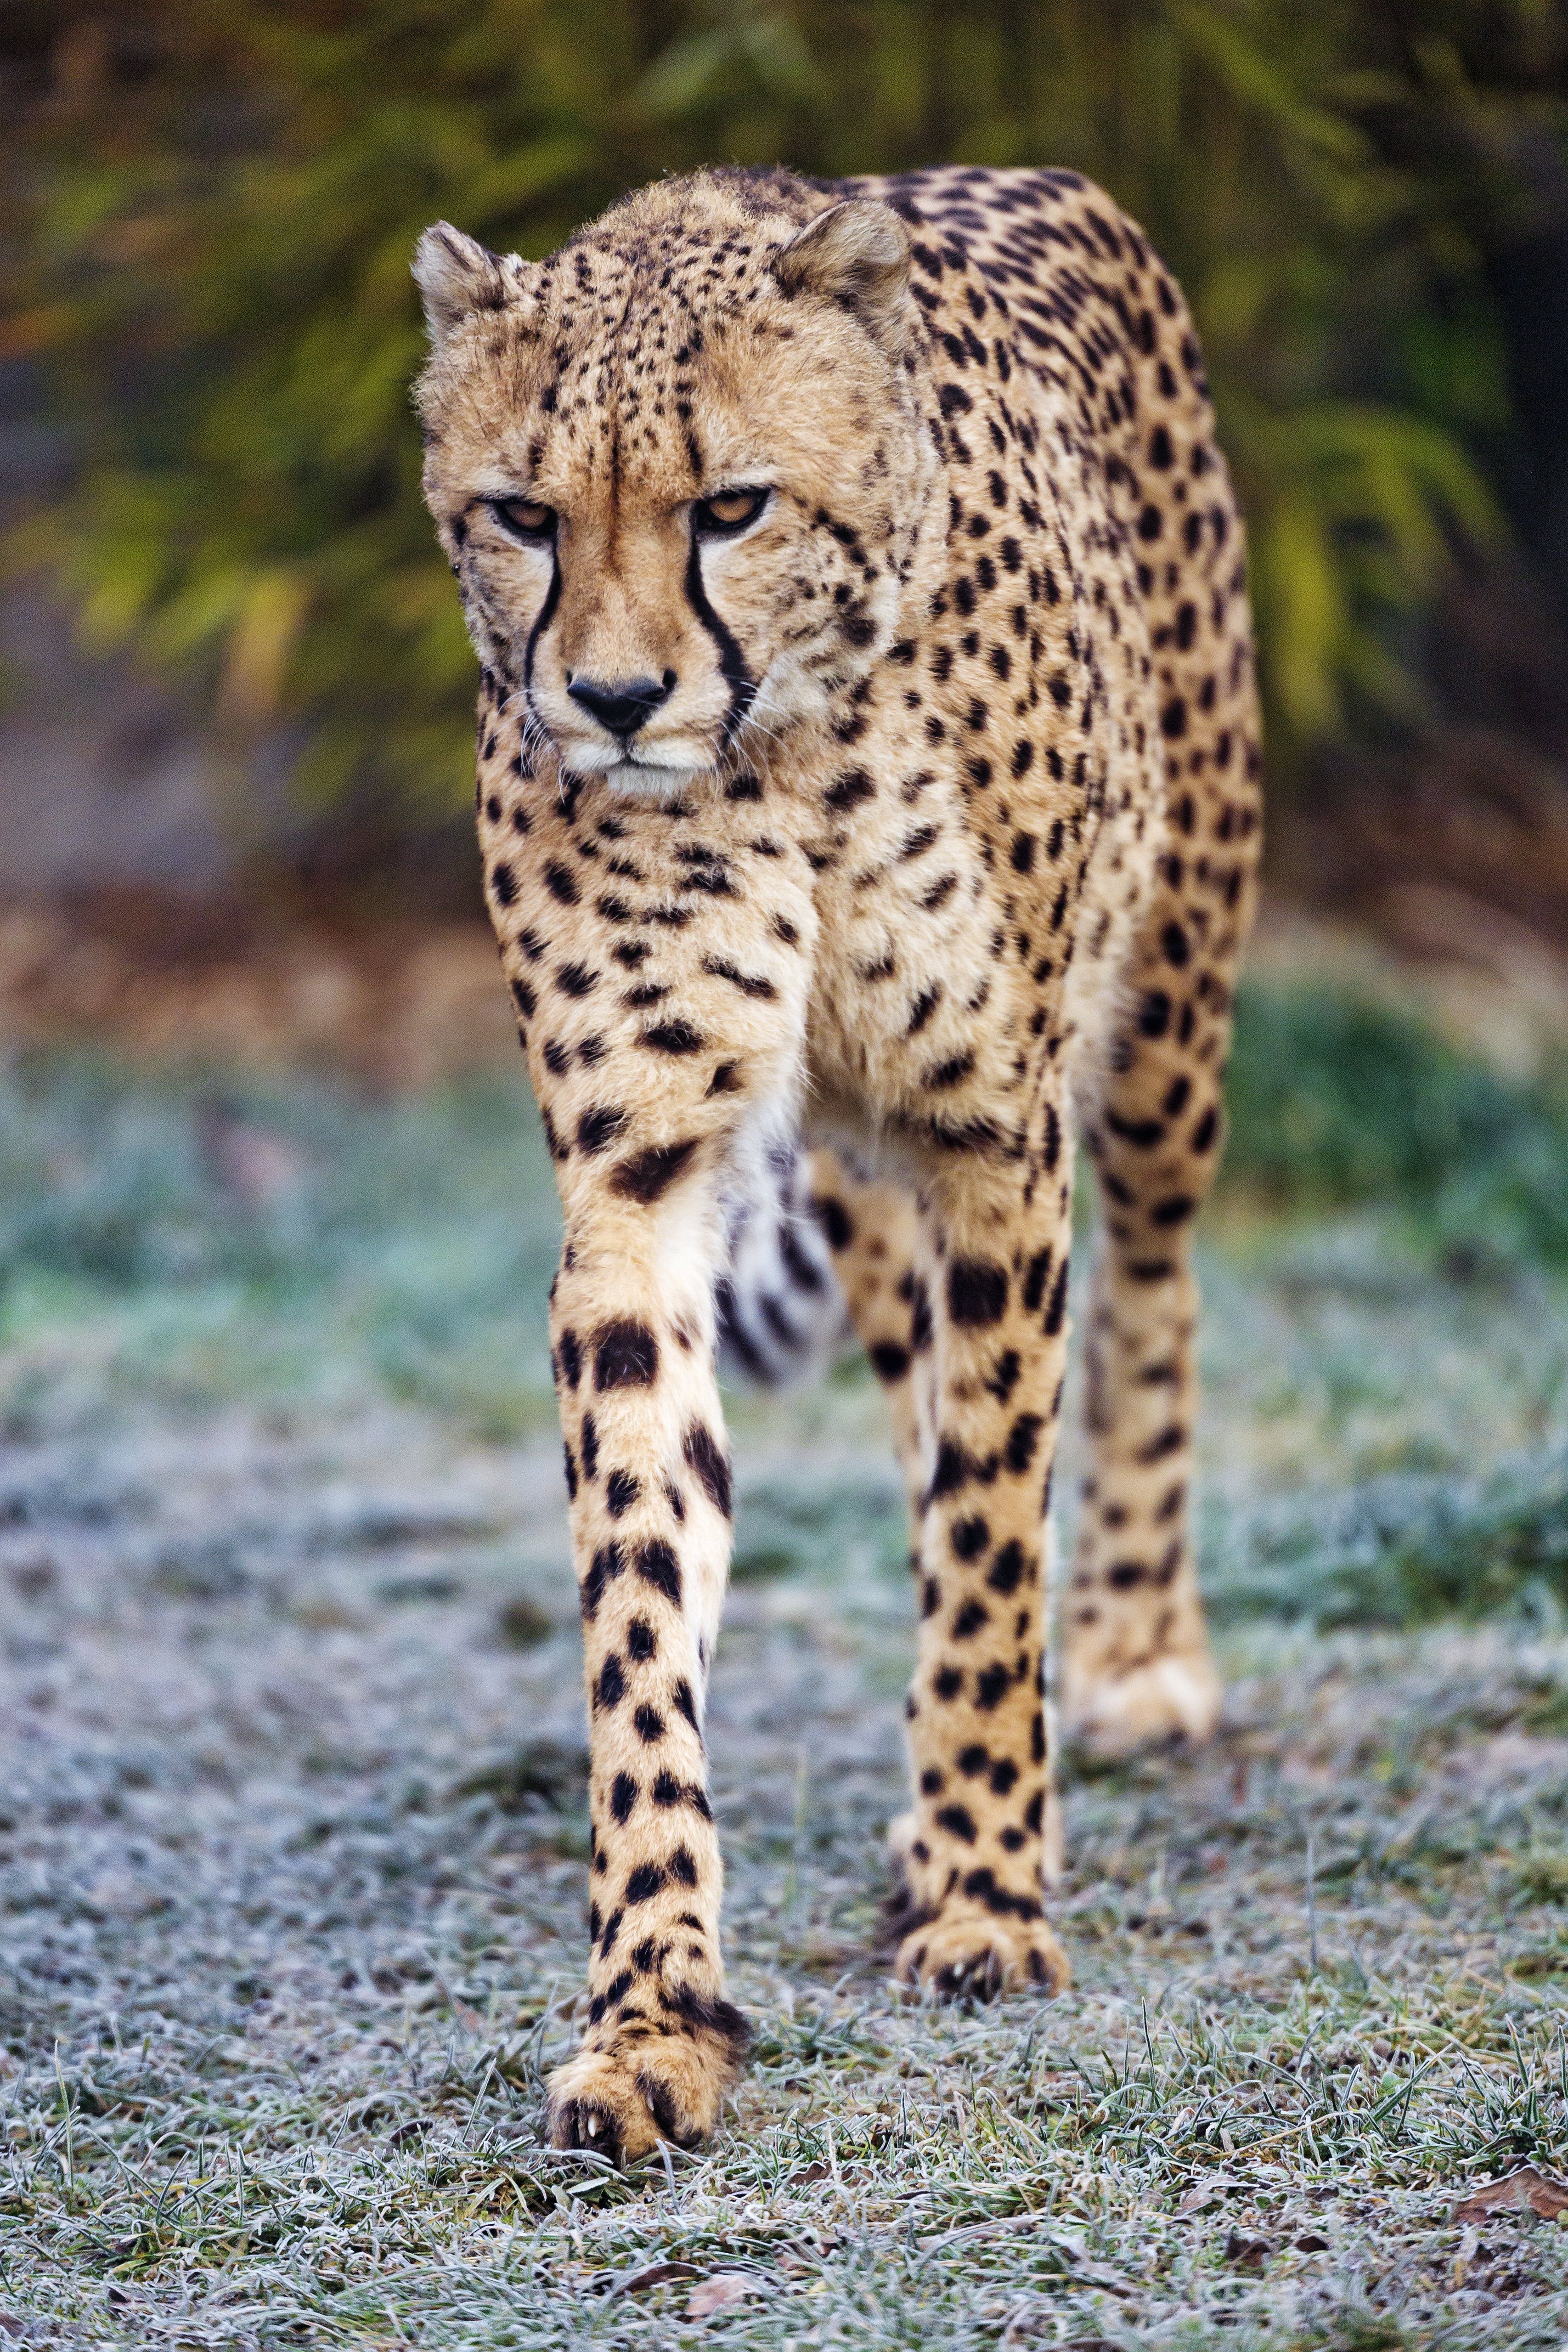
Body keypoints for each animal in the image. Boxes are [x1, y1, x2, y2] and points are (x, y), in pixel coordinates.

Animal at [413, 160, 1262, 2165]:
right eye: (521, 515)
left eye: (730, 505)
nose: (613, 698)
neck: (773, 753)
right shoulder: (643, 1183)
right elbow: (644, 1592)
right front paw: (653, 2010)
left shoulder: (993, 1129)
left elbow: (992, 1520)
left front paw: (985, 1888)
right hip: (864, 1180)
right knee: (928, 1407)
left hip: (1168, 1014)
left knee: (1142, 1302)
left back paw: (1123, 1655)